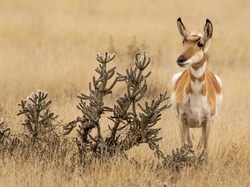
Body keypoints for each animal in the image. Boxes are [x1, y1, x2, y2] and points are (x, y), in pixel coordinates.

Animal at [172, 17, 223, 153]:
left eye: (200, 44)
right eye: (184, 42)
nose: (180, 59)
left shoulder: (207, 121)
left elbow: (204, 149)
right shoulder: (183, 120)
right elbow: (186, 146)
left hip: (211, 122)